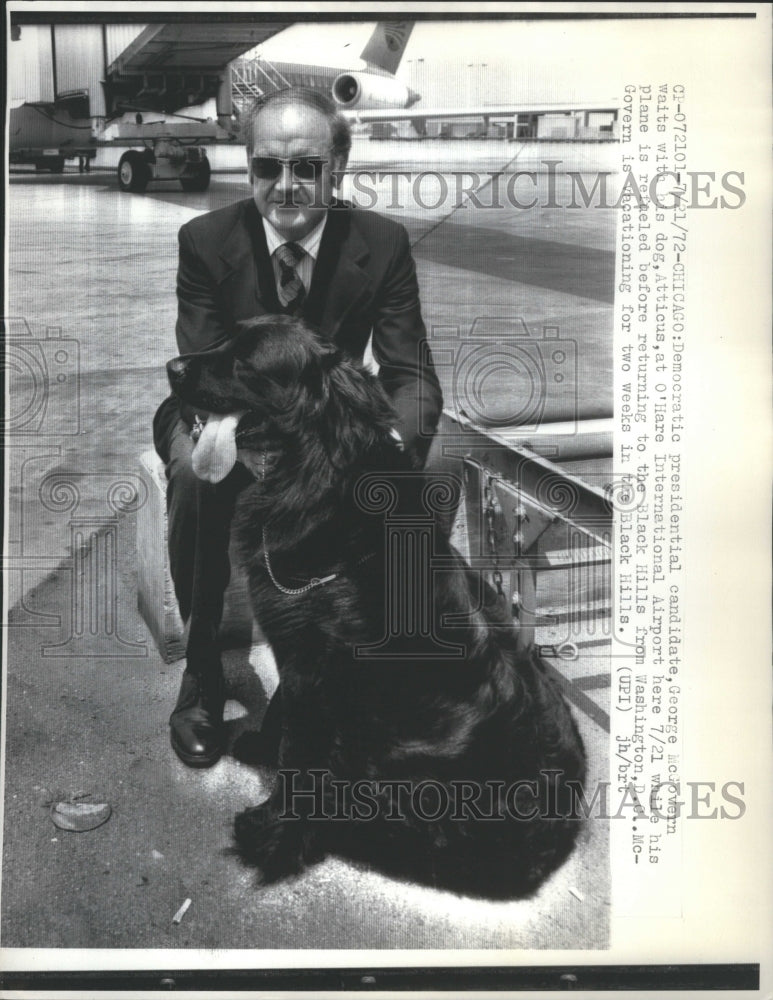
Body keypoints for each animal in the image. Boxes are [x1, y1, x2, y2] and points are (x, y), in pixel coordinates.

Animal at [167, 314, 584, 900]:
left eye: (246, 361)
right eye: (223, 338)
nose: (172, 367)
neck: (314, 482)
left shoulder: (320, 672)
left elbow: (299, 756)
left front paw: (274, 830)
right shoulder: (299, 655)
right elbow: (282, 714)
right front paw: (261, 746)